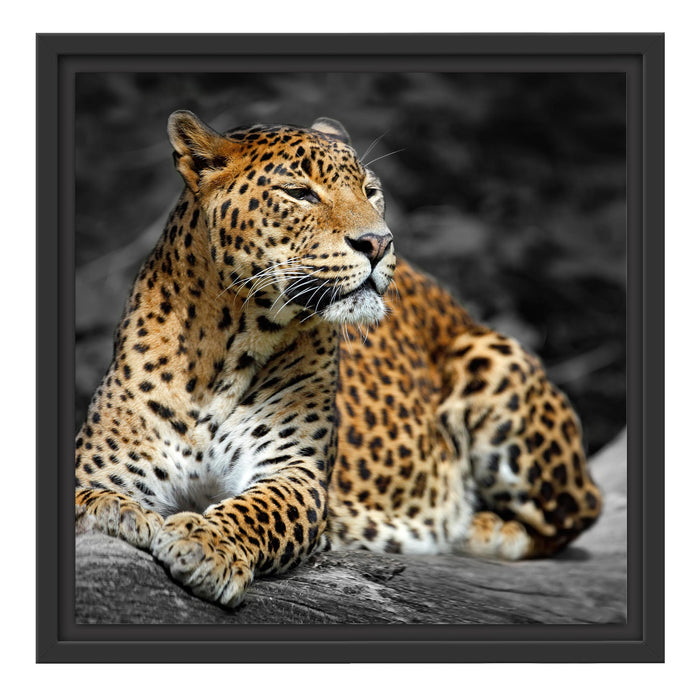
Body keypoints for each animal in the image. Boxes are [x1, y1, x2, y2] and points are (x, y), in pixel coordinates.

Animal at [75, 110, 602, 608]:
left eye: (371, 191)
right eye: (299, 193)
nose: (379, 243)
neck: (226, 347)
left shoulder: (294, 472)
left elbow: (255, 511)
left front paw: (206, 543)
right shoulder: (104, 464)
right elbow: (89, 494)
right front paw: (115, 511)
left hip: (493, 357)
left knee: (577, 513)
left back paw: (479, 528)